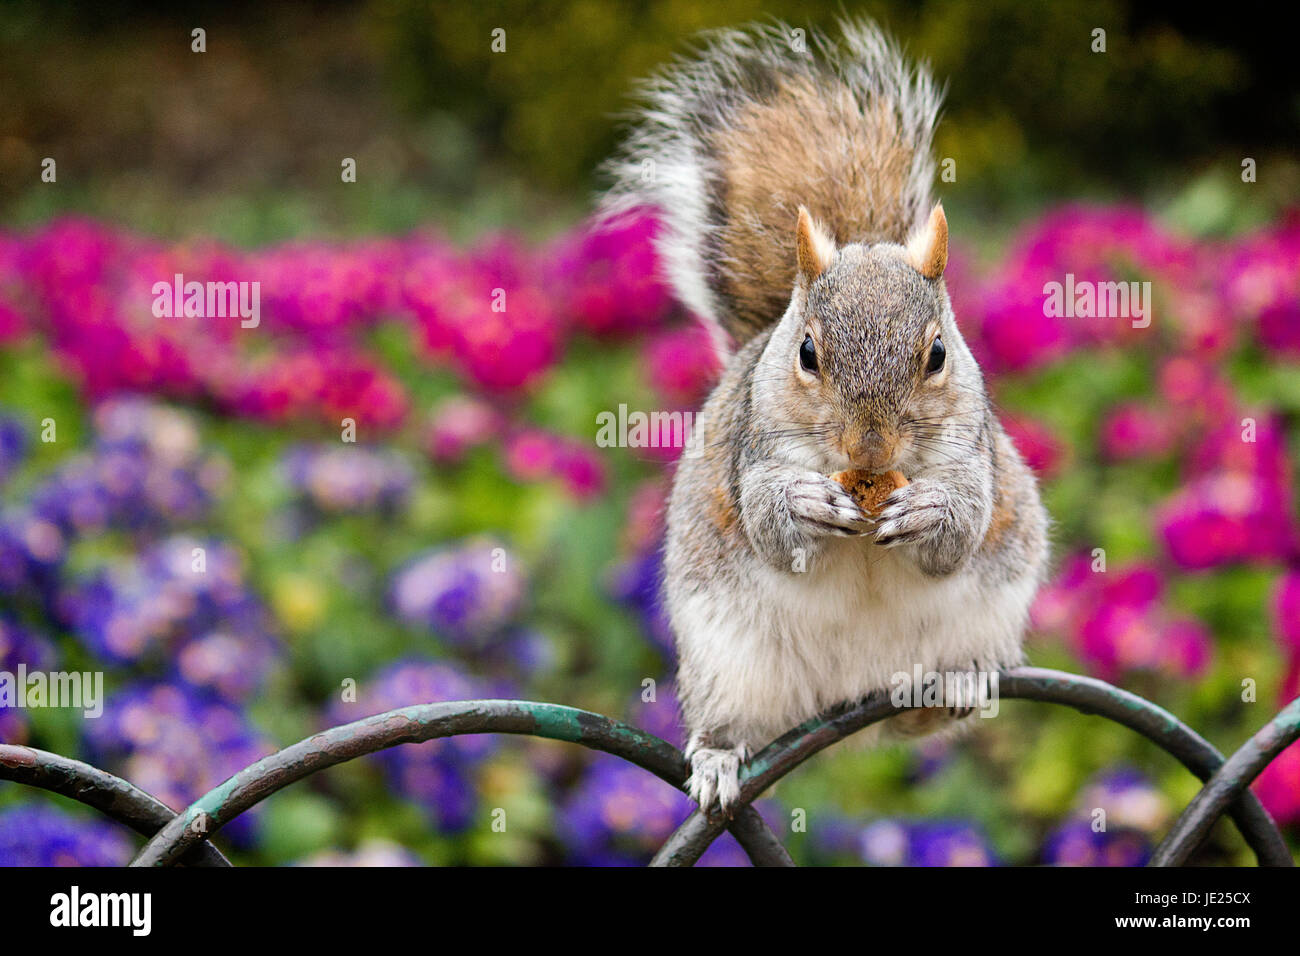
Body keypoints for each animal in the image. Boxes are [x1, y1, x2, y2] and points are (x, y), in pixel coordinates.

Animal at [603, 20, 1050, 813]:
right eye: (808, 352)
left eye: (938, 353)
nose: (870, 449)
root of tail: (851, 704)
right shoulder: (750, 455)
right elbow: (771, 527)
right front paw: (805, 503)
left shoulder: (973, 457)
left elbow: (960, 531)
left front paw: (929, 511)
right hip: (727, 664)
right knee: (731, 722)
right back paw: (717, 759)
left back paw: (960, 683)